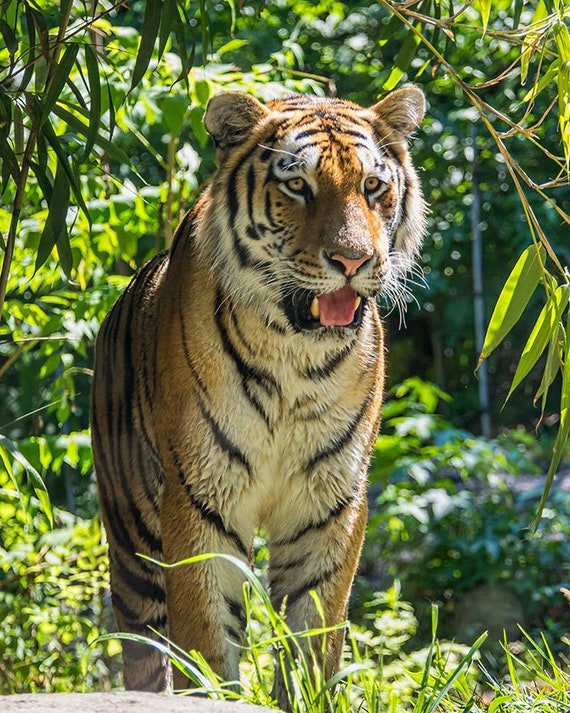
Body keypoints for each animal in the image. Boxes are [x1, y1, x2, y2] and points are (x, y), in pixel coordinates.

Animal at [91, 87, 424, 708]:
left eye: (373, 186)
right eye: (298, 186)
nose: (353, 262)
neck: (296, 356)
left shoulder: (329, 500)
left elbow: (314, 633)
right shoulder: (201, 496)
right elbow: (206, 638)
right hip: (131, 544)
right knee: (143, 650)